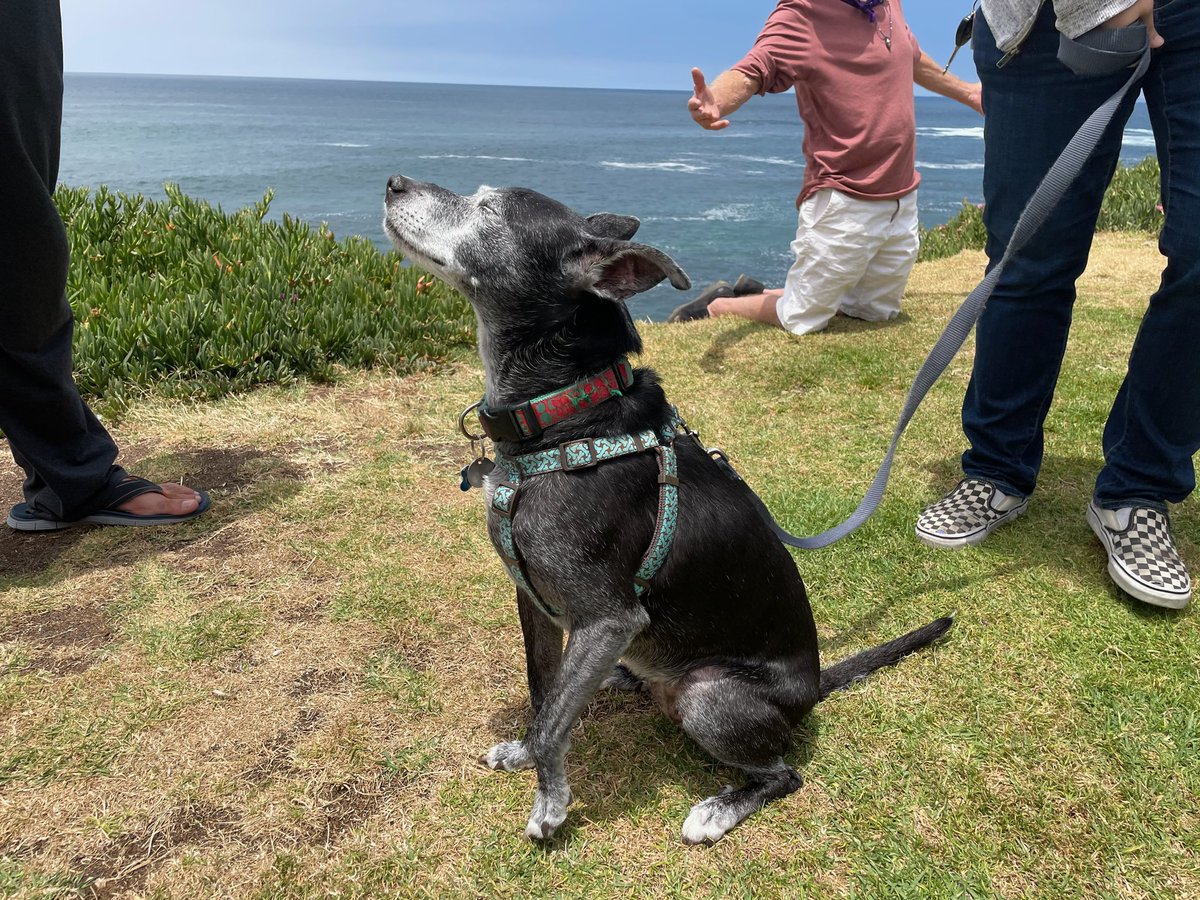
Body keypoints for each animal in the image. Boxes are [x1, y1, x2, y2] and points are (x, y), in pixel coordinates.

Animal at [379, 177, 950, 844]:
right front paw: (524, 752)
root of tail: (812, 688)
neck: (567, 417)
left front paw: (550, 803)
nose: (393, 183)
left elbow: (553, 726)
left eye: (488, 209)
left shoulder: (608, 618)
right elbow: (544, 697)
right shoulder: (535, 602)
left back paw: (719, 808)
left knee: (785, 773)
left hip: (708, 695)